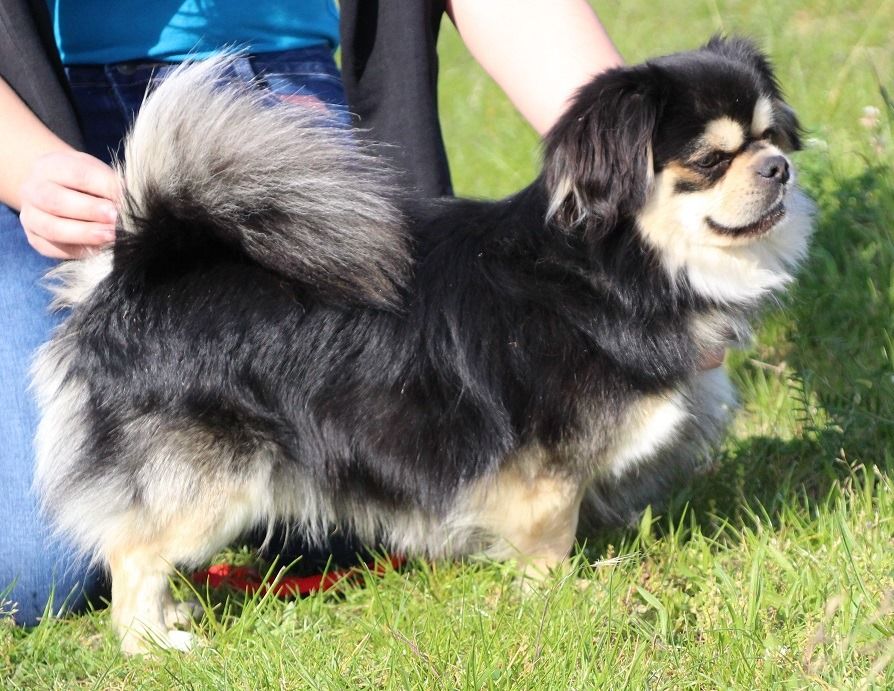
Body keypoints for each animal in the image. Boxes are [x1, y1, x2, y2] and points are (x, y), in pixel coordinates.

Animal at [32, 37, 813, 654]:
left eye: (772, 136)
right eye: (710, 159)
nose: (779, 168)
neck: (619, 269)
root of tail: (133, 268)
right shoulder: (544, 476)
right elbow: (550, 543)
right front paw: (557, 601)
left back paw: (175, 617)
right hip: (214, 482)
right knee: (133, 554)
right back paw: (153, 645)